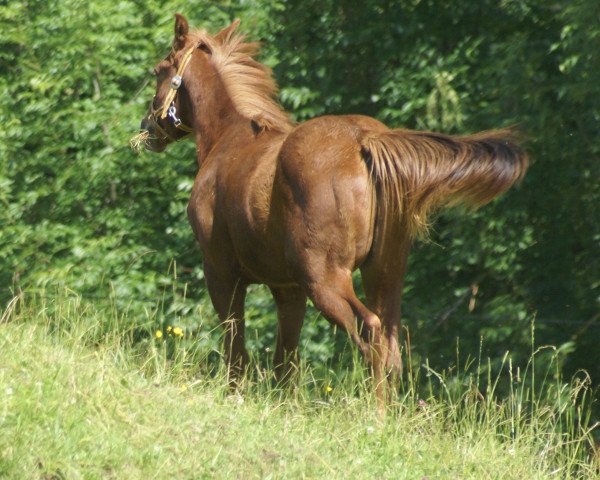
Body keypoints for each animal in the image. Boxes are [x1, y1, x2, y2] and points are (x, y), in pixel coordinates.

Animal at [138, 15, 528, 412]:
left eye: (158, 70)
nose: (148, 129)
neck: (228, 139)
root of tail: (364, 140)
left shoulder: (221, 272)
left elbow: (236, 346)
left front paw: (235, 396)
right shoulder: (288, 287)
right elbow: (286, 358)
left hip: (325, 279)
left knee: (369, 332)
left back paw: (377, 414)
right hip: (383, 274)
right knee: (390, 342)